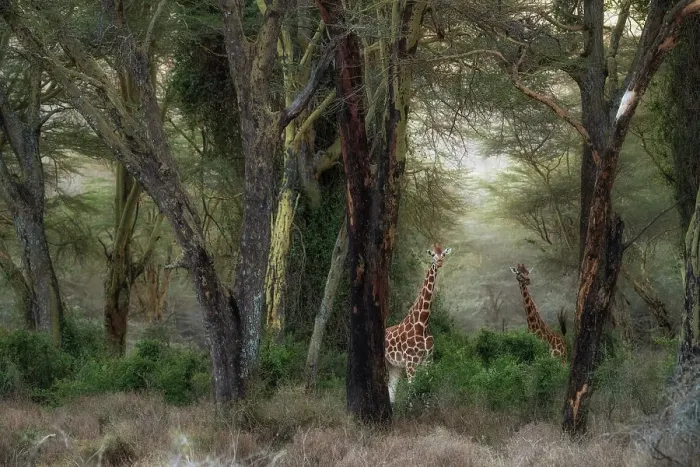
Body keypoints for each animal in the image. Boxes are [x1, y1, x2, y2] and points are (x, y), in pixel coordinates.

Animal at [385, 243, 452, 404]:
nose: (439, 262)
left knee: (391, 389)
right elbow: (412, 391)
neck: (422, 323)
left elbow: (426, 389)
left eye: (443, 254)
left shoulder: (427, 360)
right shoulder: (411, 362)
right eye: (433, 254)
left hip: (395, 366)